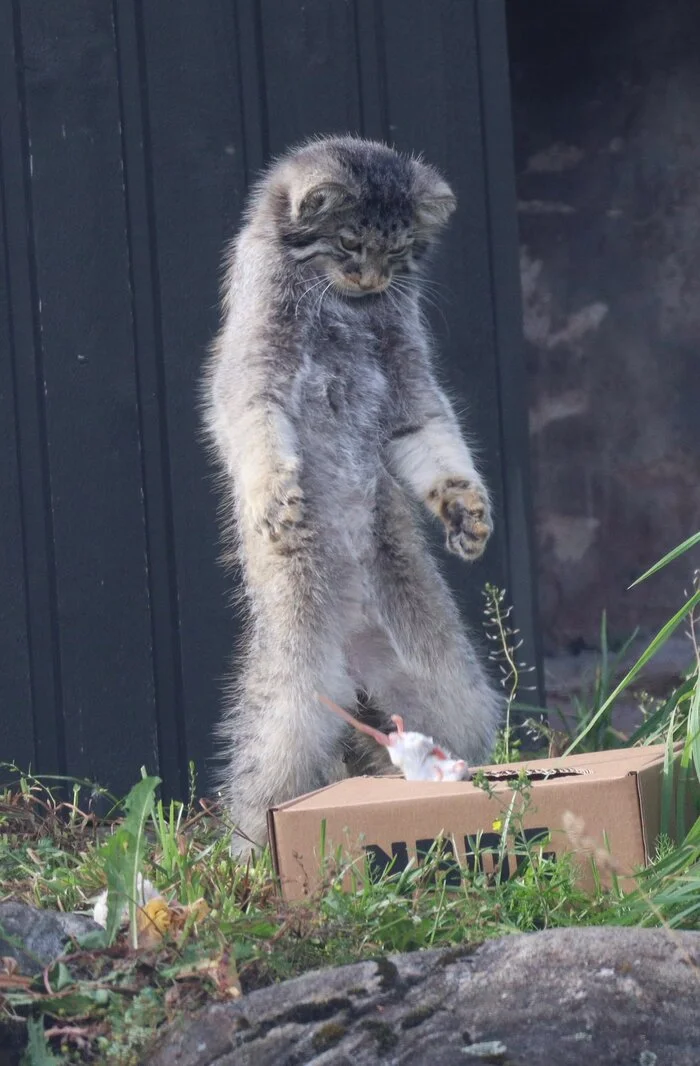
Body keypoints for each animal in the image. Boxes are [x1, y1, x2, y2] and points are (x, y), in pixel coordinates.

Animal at [203, 135, 502, 848]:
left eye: (398, 251)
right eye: (348, 243)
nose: (373, 281)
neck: (344, 311)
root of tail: (357, 662)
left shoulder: (411, 393)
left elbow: (442, 451)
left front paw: (468, 513)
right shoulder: (251, 380)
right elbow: (259, 442)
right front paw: (275, 498)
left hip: (448, 689)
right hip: (295, 699)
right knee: (264, 778)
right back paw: (248, 852)